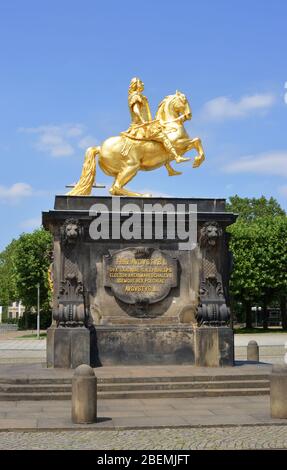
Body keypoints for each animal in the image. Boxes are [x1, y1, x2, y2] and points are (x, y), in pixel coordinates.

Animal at [68, 92, 206, 196]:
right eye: (184, 100)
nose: (189, 115)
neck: (170, 125)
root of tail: (99, 148)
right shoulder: (178, 145)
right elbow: (197, 140)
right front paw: (196, 160)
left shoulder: (182, 147)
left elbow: (195, 142)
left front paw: (193, 162)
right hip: (131, 167)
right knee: (116, 187)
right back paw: (145, 195)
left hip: (122, 171)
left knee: (114, 189)